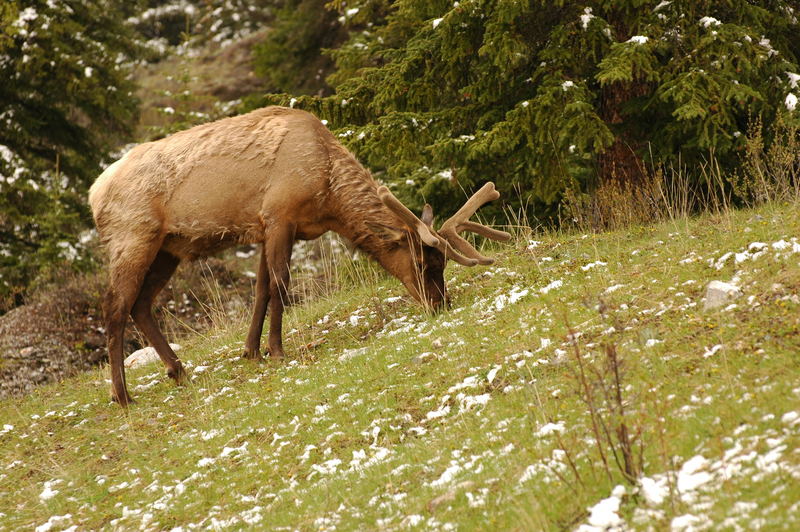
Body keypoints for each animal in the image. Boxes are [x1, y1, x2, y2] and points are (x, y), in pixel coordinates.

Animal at [89, 106, 512, 406]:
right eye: (425, 263)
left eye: (442, 264)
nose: (440, 303)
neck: (328, 195)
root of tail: (94, 194)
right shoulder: (281, 214)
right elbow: (280, 282)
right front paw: (276, 350)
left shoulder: (265, 226)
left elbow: (261, 287)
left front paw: (251, 351)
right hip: (134, 236)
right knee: (114, 305)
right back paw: (123, 395)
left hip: (168, 247)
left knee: (140, 304)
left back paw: (177, 371)